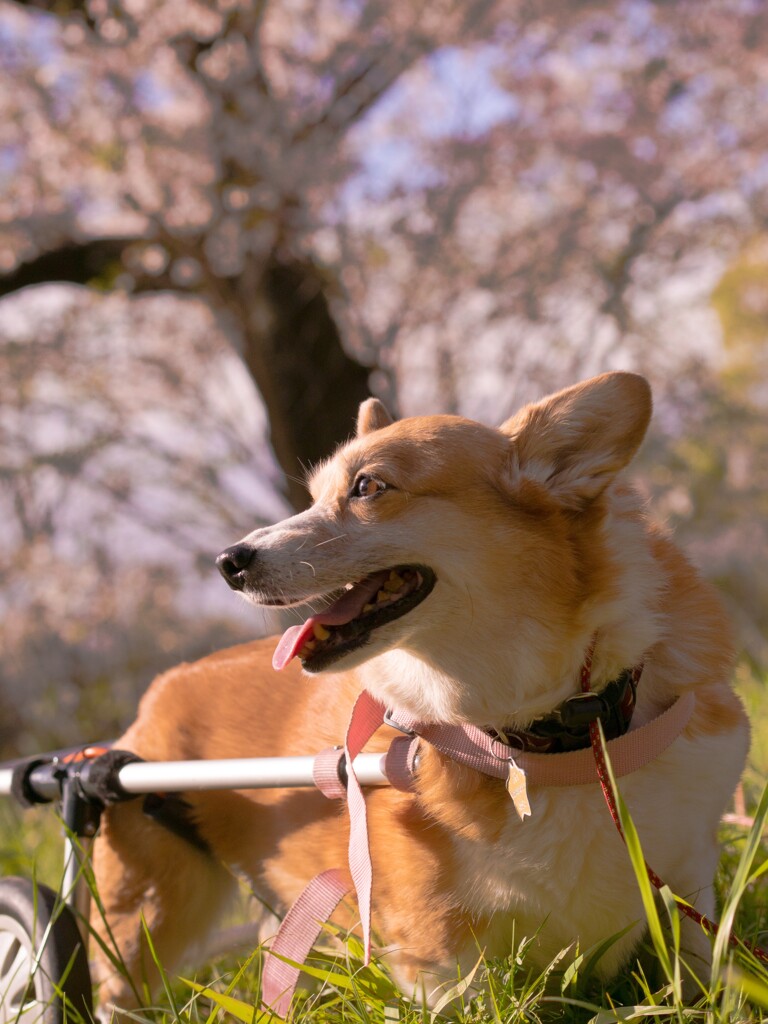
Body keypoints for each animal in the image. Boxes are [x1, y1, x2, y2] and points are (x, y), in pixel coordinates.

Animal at [91, 374, 753, 1007]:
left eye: (367, 487)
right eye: (313, 497)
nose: (228, 562)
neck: (544, 739)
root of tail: (158, 689)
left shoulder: (688, 876)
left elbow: (704, 974)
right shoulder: (436, 951)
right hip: (148, 909)